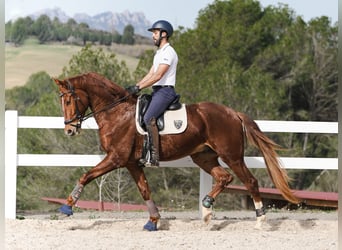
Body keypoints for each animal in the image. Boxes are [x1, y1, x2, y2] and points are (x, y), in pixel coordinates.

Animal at [52, 72, 298, 230]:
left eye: (69, 100)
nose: (69, 130)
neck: (116, 113)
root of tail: (233, 113)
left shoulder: (116, 158)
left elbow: (86, 175)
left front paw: (67, 207)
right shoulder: (131, 163)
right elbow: (145, 190)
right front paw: (153, 220)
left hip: (232, 156)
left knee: (250, 181)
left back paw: (260, 220)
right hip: (203, 157)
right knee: (224, 178)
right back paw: (207, 211)